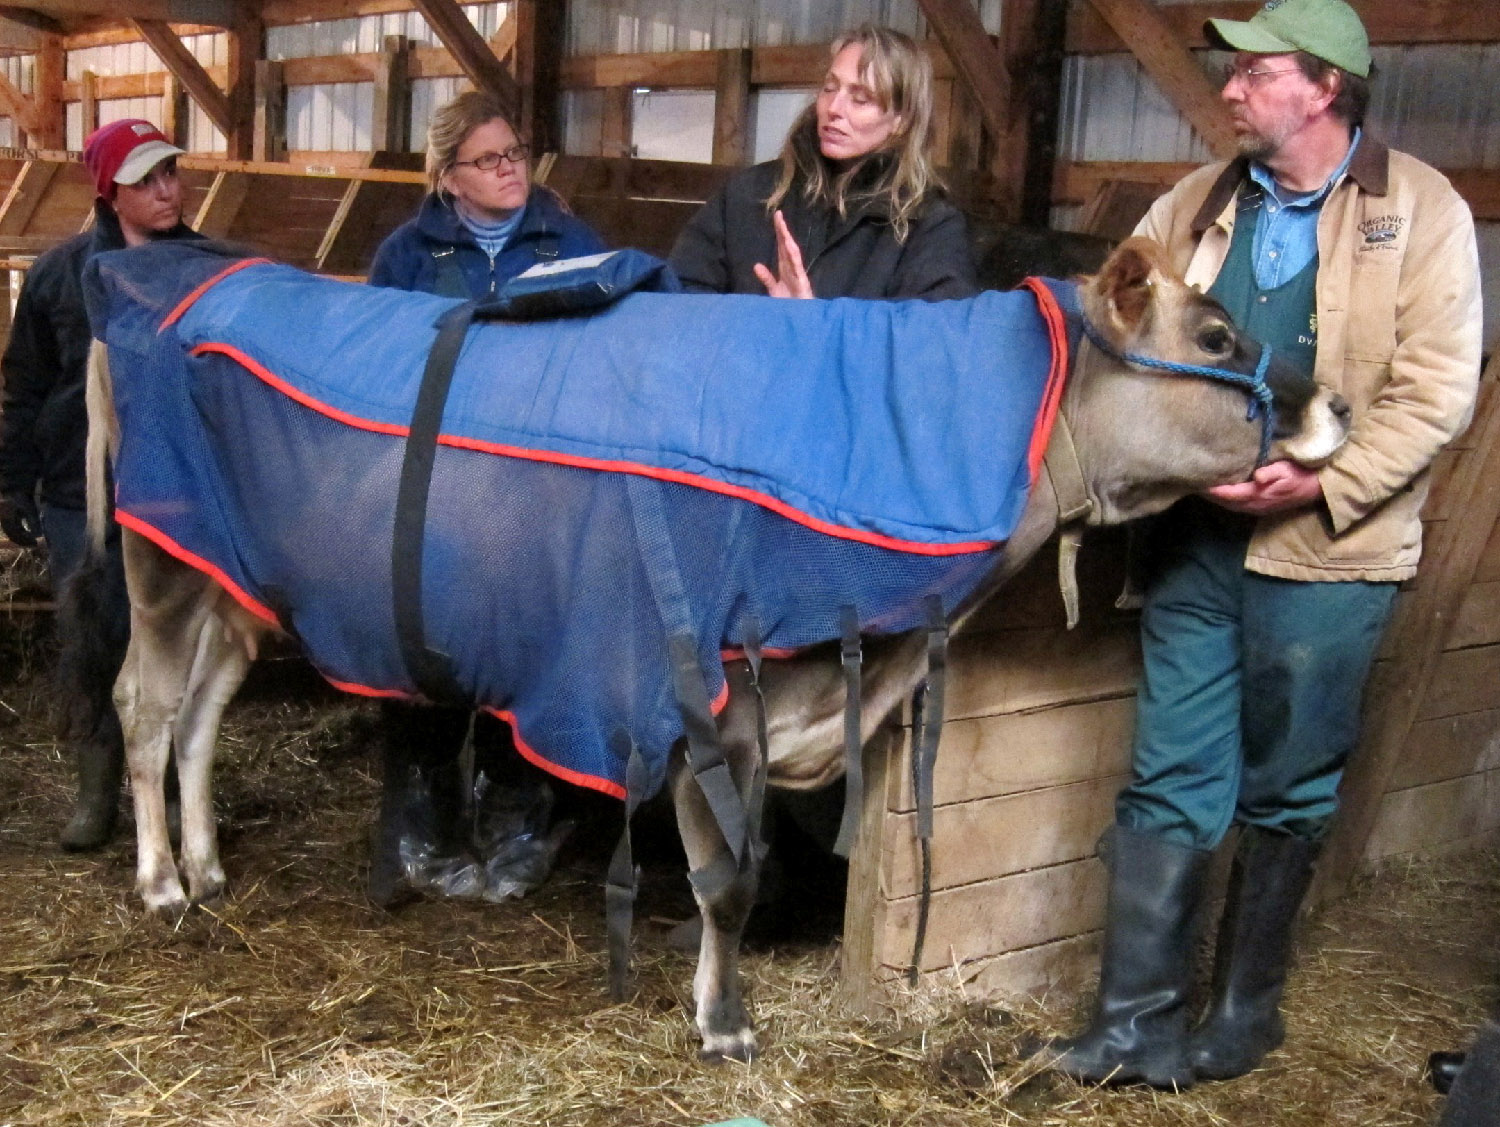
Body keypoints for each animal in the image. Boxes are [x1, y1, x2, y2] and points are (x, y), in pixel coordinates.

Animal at [79, 238, 1350, 1068]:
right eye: (1218, 335)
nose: (1332, 402)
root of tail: (165, 281)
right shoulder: (706, 695)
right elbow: (728, 879)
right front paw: (725, 1021)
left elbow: (739, 869)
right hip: (157, 555)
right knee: (144, 701)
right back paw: (159, 881)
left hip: (228, 571)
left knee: (202, 707)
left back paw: (207, 862)